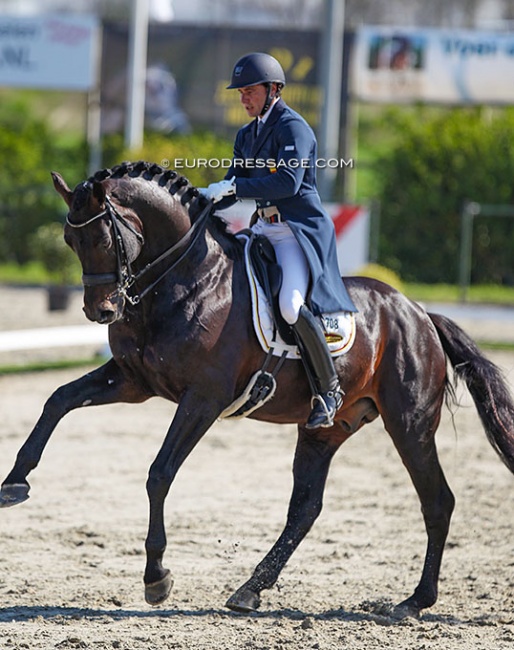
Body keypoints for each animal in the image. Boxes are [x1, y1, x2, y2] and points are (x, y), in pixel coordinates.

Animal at [1, 159, 512, 616]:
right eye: (70, 240)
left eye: (107, 237)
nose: (101, 311)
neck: (184, 281)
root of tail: (420, 313)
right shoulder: (133, 380)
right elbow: (58, 400)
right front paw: (14, 484)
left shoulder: (203, 398)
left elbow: (159, 473)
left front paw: (156, 577)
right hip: (325, 430)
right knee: (305, 508)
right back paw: (250, 590)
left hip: (409, 426)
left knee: (437, 502)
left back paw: (412, 602)